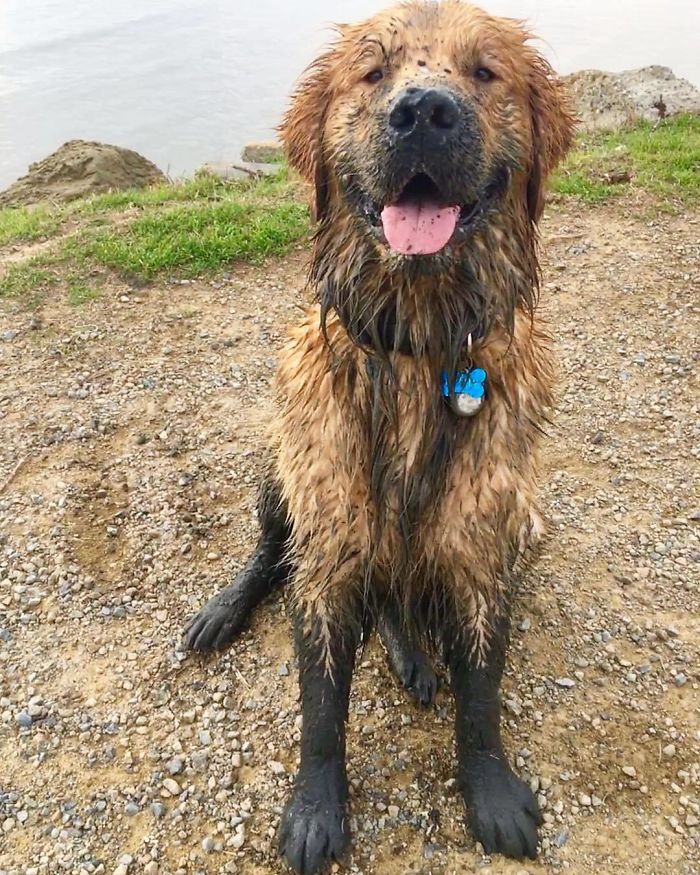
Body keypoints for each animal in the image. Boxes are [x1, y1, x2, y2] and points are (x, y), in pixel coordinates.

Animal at [185, 3, 576, 872]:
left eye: (484, 72)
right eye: (372, 73)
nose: (423, 111)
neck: (415, 348)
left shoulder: (483, 536)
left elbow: (481, 692)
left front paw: (491, 792)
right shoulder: (329, 535)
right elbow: (321, 707)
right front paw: (314, 811)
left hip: (526, 524)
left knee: (400, 595)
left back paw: (410, 653)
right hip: (281, 472)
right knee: (271, 552)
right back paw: (225, 610)